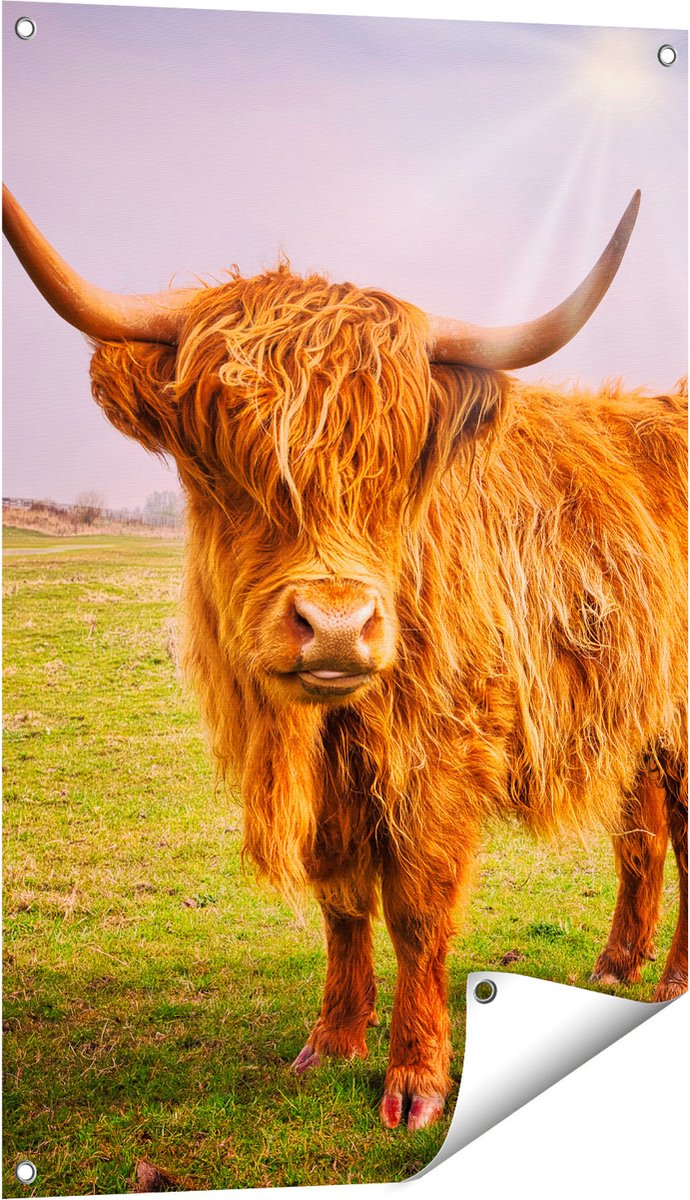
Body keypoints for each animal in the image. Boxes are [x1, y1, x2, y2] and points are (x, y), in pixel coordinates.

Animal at [3, 185, 687, 1131]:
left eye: (397, 470)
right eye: (224, 461)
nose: (335, 626)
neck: (327, 730)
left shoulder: (441, 755)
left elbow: (417, 909)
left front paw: (417, 1078)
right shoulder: (331, 784)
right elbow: (341, 900)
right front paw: (331, 1043)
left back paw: (671, 982)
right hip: (639, 717)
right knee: (644, 837)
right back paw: (618, 966)